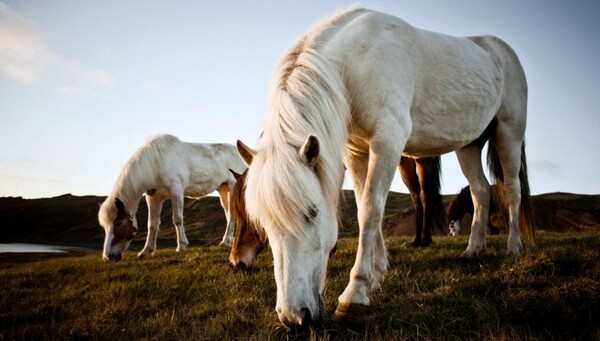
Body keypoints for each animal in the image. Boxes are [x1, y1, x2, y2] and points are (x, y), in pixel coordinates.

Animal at [99, 134, 245, 262]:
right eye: (105, 226)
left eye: (118, 223)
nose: (108, 257)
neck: (156, 162)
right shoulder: (153, 198)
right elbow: (152, 224)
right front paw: (146, 250)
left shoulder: (176, 190)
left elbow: (177, 219)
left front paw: (181, 246)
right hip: (223, 189)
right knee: (228, 214)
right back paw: (228, 241)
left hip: (232, 186)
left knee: (232, 214)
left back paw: (225, 242)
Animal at [237, 7, 532, 326]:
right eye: (263, 223)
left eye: (312, 212)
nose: (293, 317)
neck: (351, 64)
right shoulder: (356, 150)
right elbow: (363, 206)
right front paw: (377, 272)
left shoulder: (388, 140)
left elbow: (371, 209)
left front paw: (355, 292)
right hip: (469, 145)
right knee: (480, 191)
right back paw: (473, 249)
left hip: (508, 134)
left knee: (511, 190)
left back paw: (514, 247)